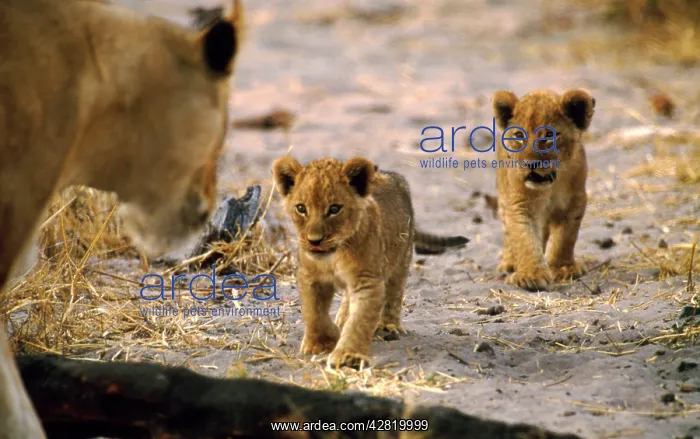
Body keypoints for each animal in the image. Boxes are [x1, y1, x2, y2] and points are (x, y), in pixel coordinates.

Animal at [272, 156, 469, 369]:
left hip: (401, 259)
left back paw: (388, 325)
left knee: (394, 295)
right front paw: (321, 342)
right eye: (301, 208)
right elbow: (314, 312)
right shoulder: (310, 276)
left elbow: (359, 321)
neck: (335, 255)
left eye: (334, 209)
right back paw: (342, 319)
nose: (314, 241)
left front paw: (348, 355)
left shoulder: (367, 280)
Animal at [491, 89, 595, 291]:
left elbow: (564, 238)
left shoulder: (574, 203)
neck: (550, 187)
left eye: (548, 135)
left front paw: (562, 268)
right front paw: (530, 275)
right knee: (508, 234)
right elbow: (523, 239)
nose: (531, 164)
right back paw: (509, 262)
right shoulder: (519, 205)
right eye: (518, 135)